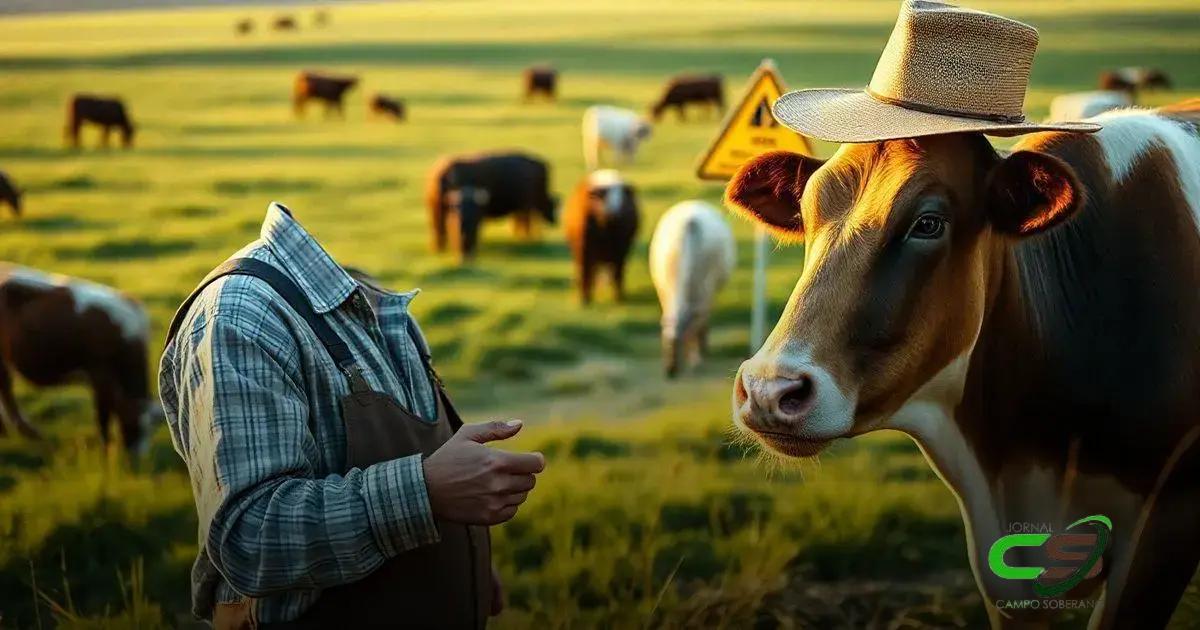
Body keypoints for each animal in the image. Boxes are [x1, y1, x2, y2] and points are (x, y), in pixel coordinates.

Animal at [0, 261, 160, 451]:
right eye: (131, 423)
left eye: (150, 429)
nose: (137, 454)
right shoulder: (100, 375)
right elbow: (103, 414)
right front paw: (105, 449)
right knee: (6, 390)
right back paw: (24, 431)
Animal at [566, 168, 643, 303]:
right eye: (602, 197)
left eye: (622, 198)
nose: (615, 213)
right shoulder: (584, 249)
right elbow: (585, 273)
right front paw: (585, 299)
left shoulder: (621, 249)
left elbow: (618, 273)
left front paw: (618, 297)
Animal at [652, 199, 734, 376]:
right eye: (666, 344)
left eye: (677, 344)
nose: (670, 370)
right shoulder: (665, 294)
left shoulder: (705, 294)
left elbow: (697, 325)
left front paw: (697, 355)